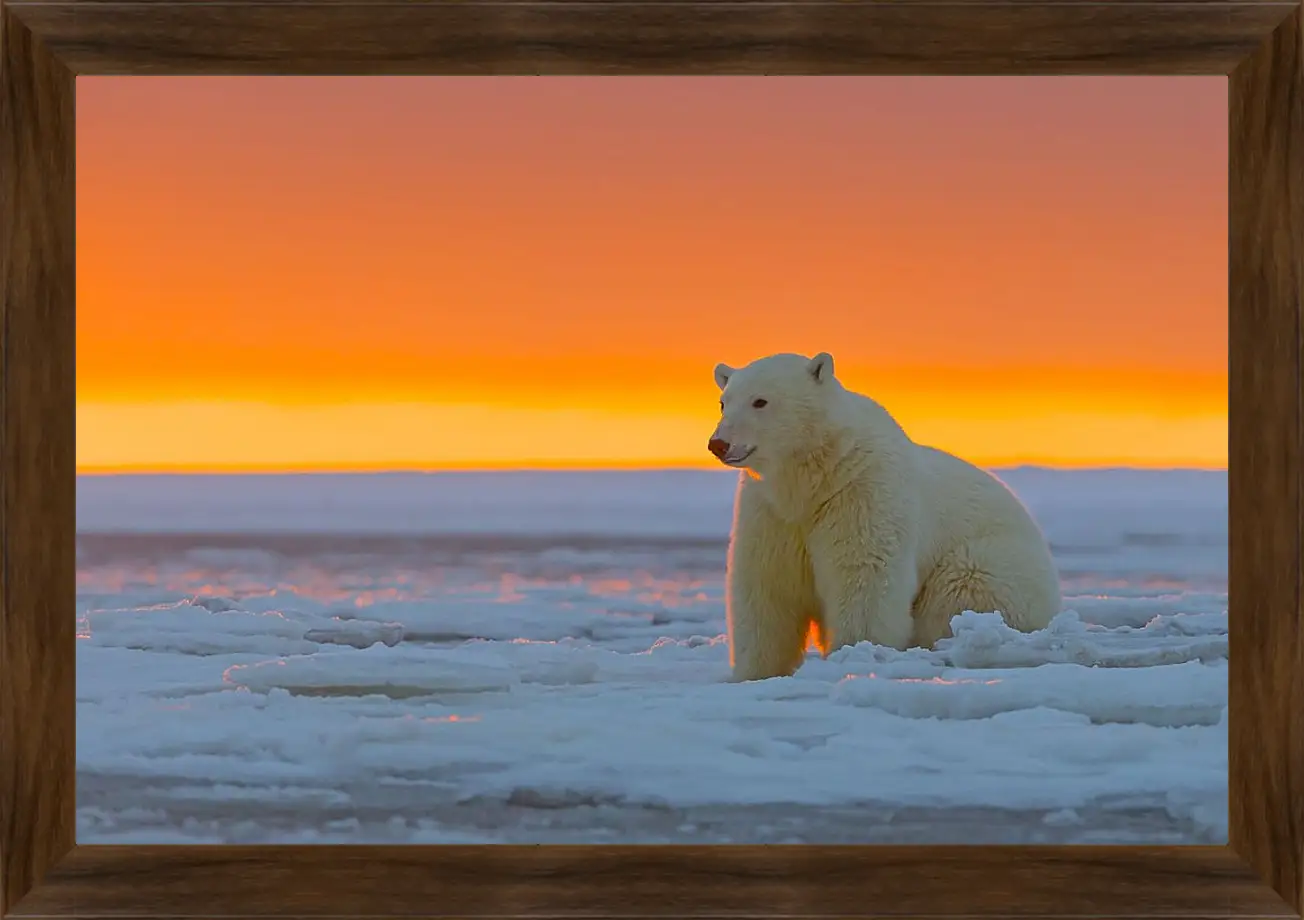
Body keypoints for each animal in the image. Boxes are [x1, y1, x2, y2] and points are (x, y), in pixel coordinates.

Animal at [709, 351, 1064, 682]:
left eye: (760, 400)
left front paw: (855, 653)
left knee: (962, 589)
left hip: (994, 566)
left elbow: (863, 577)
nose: (718, 444)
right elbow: (765, 586)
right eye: (724, 402)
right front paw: (754, 672)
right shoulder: (770, 512)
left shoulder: (861, 492)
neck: (813, 479)